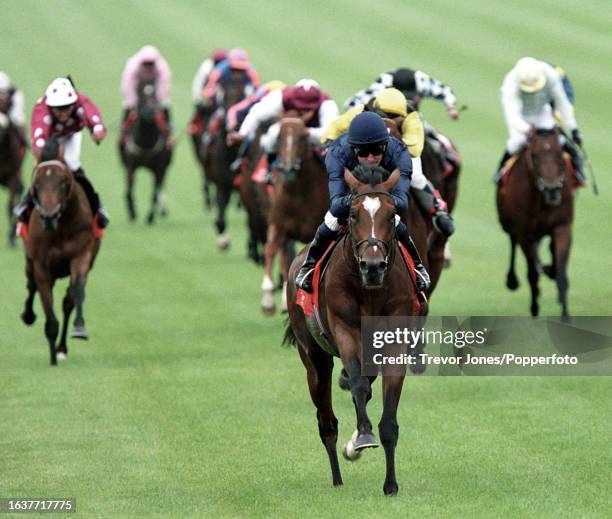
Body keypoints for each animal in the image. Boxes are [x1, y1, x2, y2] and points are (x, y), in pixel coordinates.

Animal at [20, 140, 101, 364]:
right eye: (37, 182)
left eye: (63, 180)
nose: (49, 215)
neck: (60, 228)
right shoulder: (41, 265)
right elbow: (47, 307)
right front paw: (52, 359)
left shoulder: (82, 255)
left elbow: (76, 293)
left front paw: (79, 329)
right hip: (29, 260)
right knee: (31, 286)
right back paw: (28, 315)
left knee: (67, 301)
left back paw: (62, 347)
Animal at [119, 80, 172, 223]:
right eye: (140, 93)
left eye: (155, 93)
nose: (151, 110)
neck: (146, 143)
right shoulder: (130, 165)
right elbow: (129, 189)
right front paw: (132, 213)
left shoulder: (158, 168)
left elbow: (154, 193)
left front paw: (150, 217)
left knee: (161, 185)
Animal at [262, 117, 330, 312]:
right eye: (279, 137)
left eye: (303, 137)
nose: (288, 169)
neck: (297, 194)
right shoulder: (278, 224)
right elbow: (270, 249)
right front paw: (268, 300)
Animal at [284, 166, 424, 496]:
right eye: (352, 214)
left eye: (392, 214)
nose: (372, 266)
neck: (371, 290)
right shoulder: (345, 329)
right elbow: (359, 384)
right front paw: (362, 438)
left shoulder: (395, 339)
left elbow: (388, 417)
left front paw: (390, 484)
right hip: (314, 357)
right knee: (326, 419)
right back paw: (337, 475)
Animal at [498, 128, 572, 318]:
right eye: (535, 156)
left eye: (559, 154)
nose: (552, 190)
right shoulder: (525, 231)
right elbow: (532, 274)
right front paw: (534, 309)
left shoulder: (562, 226)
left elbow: (561, 273)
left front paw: (565, 316)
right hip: (509, 223)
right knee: (513, 241)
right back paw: (513, 280)